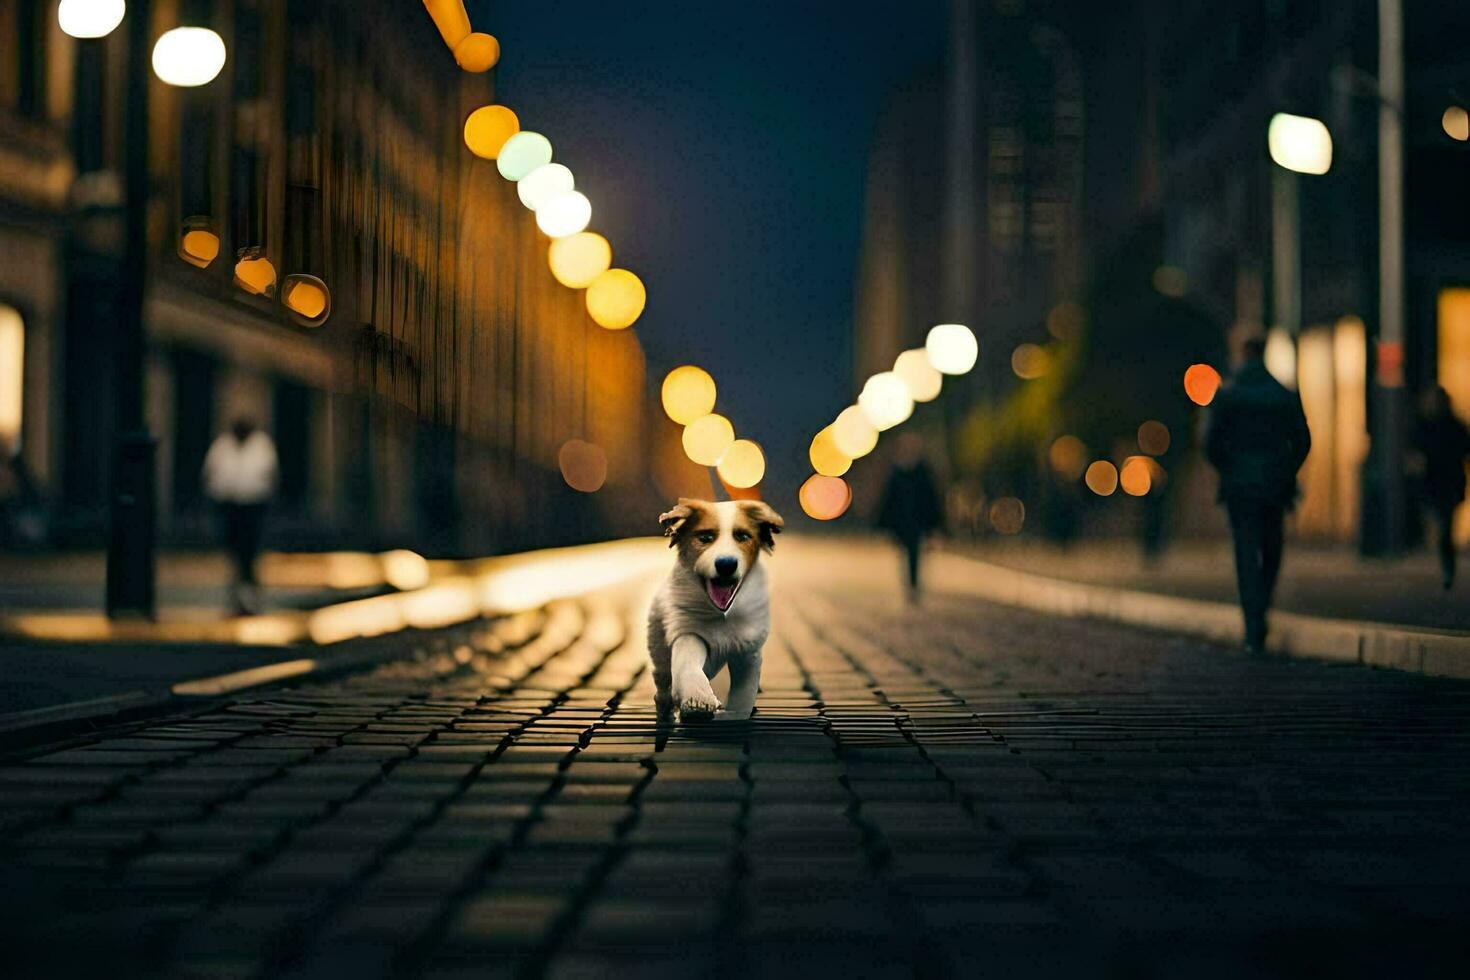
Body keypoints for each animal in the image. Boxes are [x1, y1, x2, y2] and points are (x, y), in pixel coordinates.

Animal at [646, 499, 782, 719]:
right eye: (705, 538)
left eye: (743, 536)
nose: (726, 564)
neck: (722, 615)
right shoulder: (688, 632)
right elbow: (688, 664)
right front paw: (697, 698)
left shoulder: (748, 650)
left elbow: (744, 691)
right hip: (658, 645)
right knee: (662, 678)